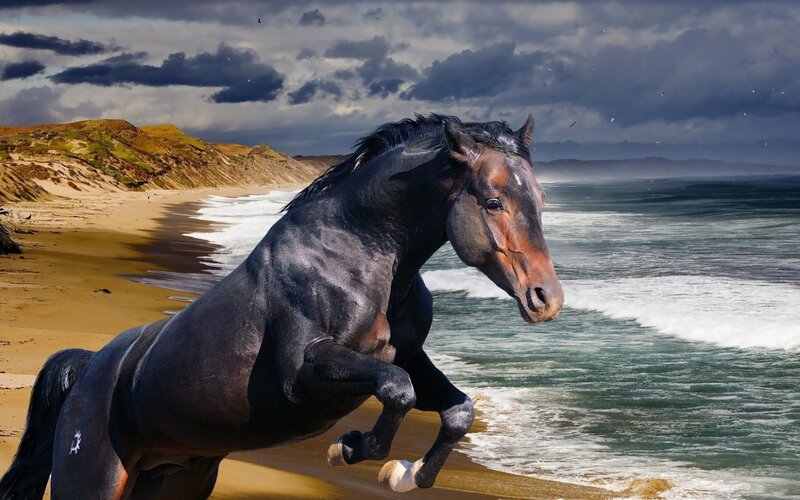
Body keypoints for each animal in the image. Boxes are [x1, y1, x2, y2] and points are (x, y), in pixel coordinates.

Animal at [0, 113, 564, 499]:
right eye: (493, 202)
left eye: (541, 199)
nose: (547, 300)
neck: (355, 254)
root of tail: (87, 368)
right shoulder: (304, 374)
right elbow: (397, 391)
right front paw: (350, 448)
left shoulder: (409, 357)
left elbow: (457, 410)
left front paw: (405, 474)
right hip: (95, 479)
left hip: (171, 481)